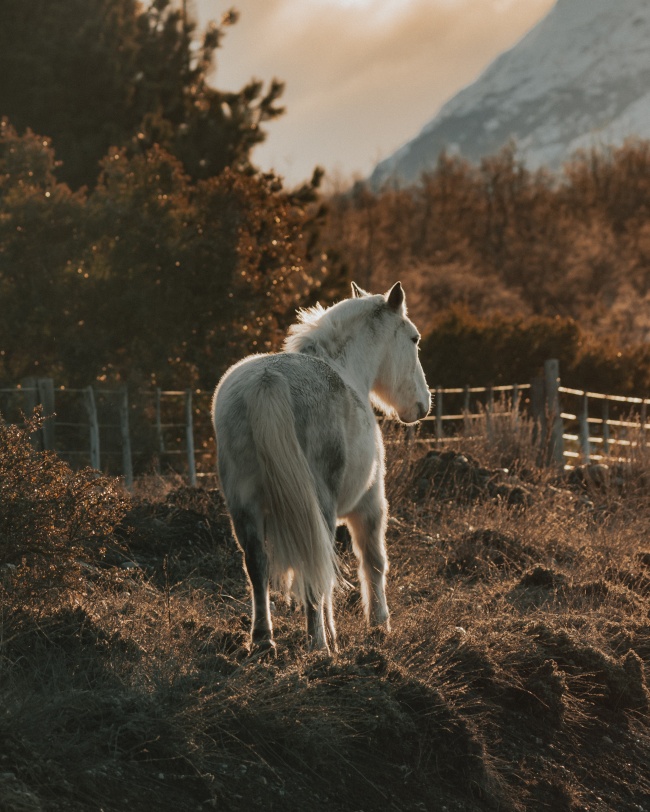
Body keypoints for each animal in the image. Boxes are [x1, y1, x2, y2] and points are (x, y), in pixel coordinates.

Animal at [210, 282, 428, 656]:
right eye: (414, 339)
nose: (422, 405)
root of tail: (267, 381)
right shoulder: (370, 504)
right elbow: (373, 562)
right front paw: (379, 625)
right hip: (318, 505)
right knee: (314, 563)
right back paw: (320, 644)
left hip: (243, 505)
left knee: (257, 563)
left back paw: (264, 640)